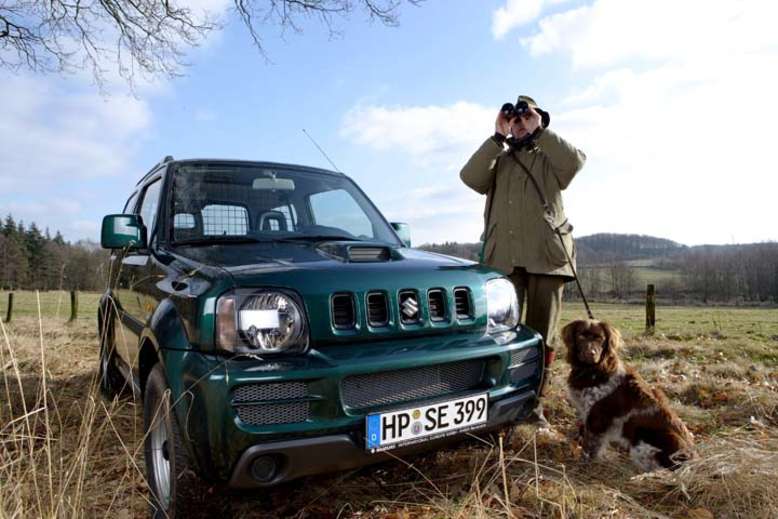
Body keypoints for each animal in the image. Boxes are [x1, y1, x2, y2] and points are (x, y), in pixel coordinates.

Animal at [556, 320, 692, 472]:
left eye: (600, 338)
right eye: (581, 336)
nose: (590, 354)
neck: (593, 370)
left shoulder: (597, 418)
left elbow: (589, 446)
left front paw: (584, 464)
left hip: (642, 439)